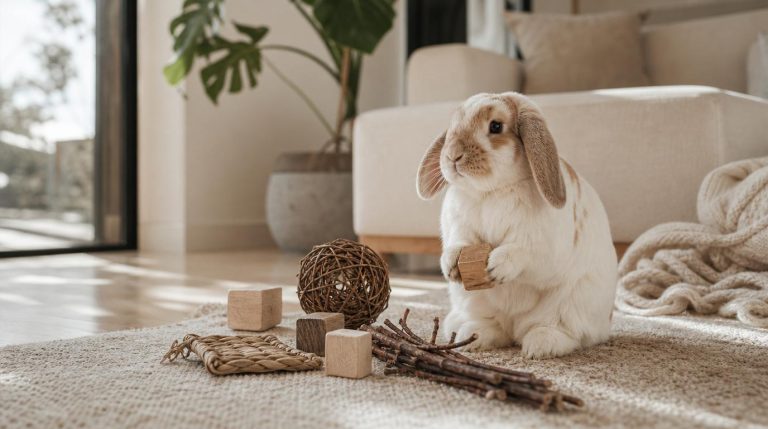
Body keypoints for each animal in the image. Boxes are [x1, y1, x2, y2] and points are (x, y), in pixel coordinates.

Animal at [416, 92, 617, 359]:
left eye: (496, 126)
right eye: (452, 126)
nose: (453, 156)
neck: (493, 191)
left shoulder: (543, 250)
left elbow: (522, 253)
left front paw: (496, 267)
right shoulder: (458, 229)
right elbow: (458, 244)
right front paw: (451, 265)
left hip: (574, 304)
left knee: (563, 332)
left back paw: (539, 347)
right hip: (471, 302)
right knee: (494, 329)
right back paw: (470, 336)